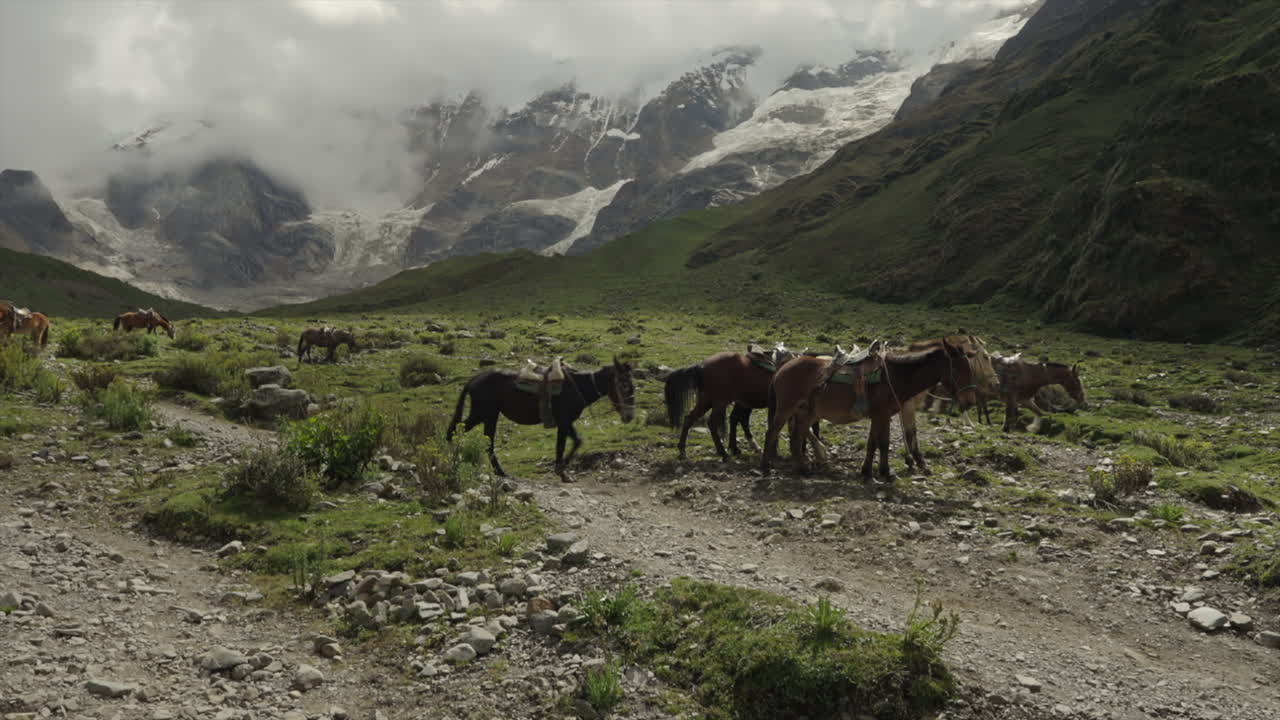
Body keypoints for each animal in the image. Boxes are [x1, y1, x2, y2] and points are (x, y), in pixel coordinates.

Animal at [448, 358, 636, 481]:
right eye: (624, 385)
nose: (629, 417)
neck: (579, 386)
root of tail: (474, 379)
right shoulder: (564, 421)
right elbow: (564, 445)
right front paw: (562, 472)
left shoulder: (566, 422)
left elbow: (575, 442)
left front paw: (561, 470)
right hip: (481, 413)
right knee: (455, 431)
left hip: (490, 416)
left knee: (487, 443)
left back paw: (500, 472)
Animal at [762, 342, 976, 479]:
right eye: (960, 369)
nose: (969, 401)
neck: (896, 376)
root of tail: (782, 369)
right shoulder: (882, 415)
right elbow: (883, 443)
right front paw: (886, 472)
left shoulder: (879, 416)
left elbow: (873, 443)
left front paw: (868, 471)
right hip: (786, 409)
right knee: (772, 432)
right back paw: (766, 468)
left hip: (806, 412)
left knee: (797, 436)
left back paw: (801, 468)